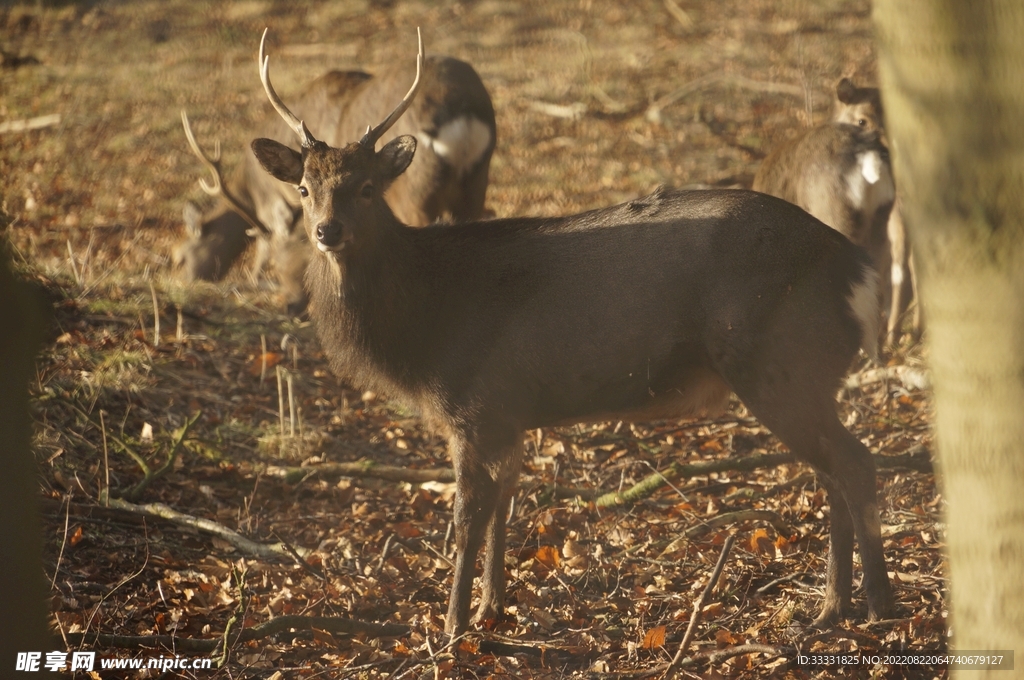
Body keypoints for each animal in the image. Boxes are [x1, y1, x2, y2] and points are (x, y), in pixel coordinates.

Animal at [177, 52, 496, 315]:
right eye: (303, 189)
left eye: (180, 256)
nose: (290, 308)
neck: (252, 190)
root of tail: (462, 114)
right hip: (475, 186)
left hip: (416, 194)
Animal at [248, 29, 895, 637]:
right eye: (305, 187)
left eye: (365, 187)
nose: (327, 231)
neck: (423, 330)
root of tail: (855, 268)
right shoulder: (507, 412)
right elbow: (505, 504)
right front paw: (491, 606)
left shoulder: (473, 404)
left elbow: (466, 517)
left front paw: (452, 625)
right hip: (802, 371)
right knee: (831, 472)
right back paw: (830, 608)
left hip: (778, 358)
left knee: (856, 463)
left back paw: (878, 606)